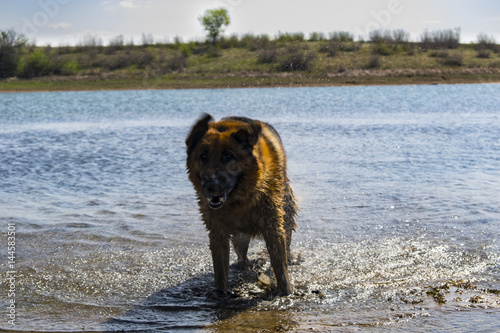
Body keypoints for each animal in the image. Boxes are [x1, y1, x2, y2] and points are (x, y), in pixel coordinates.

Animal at [187, 115, 296, 296]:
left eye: (228, 156)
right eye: (203, 156)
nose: (210, 186)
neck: (239, 200)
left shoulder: (273, 227)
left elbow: (280, 266)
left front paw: (285, 292)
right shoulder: (217, 233)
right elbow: (220, 271)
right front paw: (221, 293)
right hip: (239, 238)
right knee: (242, 253)